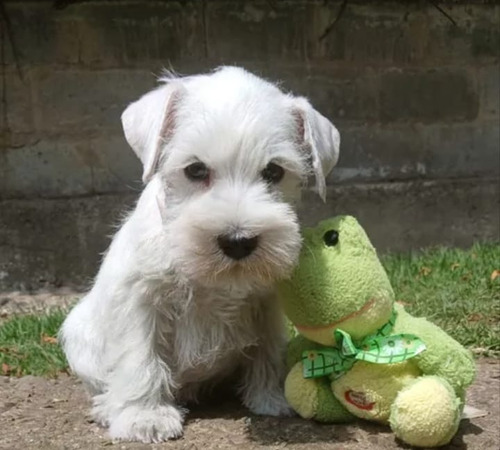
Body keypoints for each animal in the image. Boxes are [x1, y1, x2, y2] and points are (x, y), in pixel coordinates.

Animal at [58, 66, 340, 442]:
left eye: (274, 171)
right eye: (195, 170)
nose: (238, 241)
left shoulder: (266, 304)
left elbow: (268, 348)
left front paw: (271, 398)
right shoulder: (140, 300)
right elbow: (140, 358)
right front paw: (144, 416)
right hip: (79, 337)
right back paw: (108, 406)